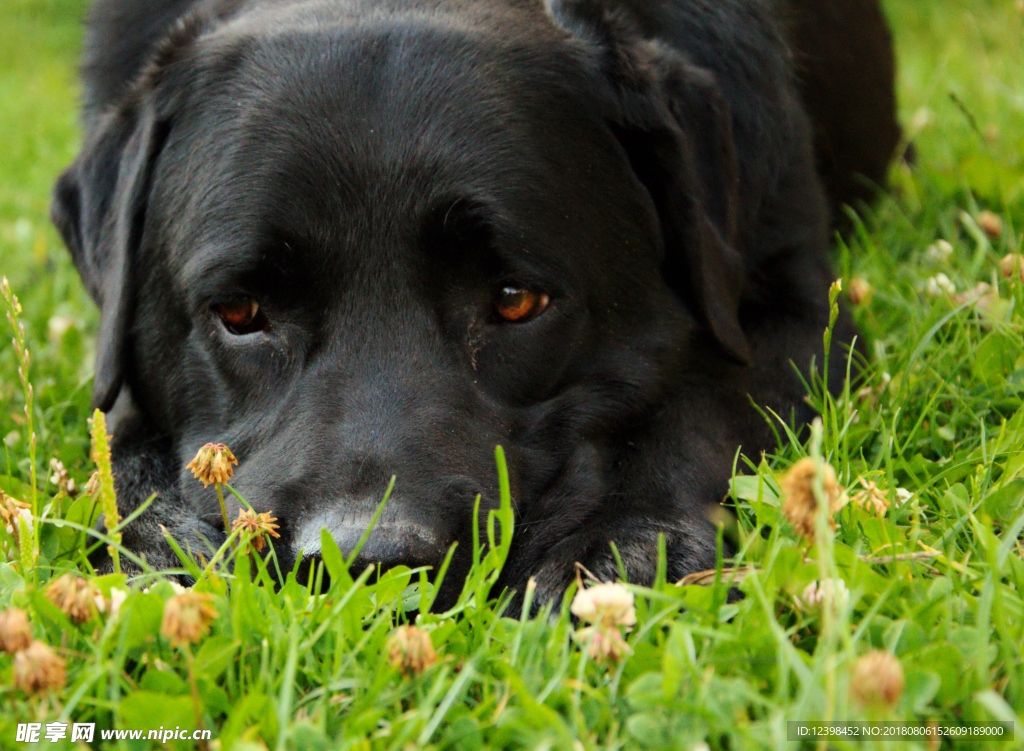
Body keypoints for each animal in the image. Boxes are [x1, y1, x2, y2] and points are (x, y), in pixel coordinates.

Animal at [49, 0, 897, 610]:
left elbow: (703, 404)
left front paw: (617, 544)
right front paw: (159, 545)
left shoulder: (797, 309)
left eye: (516, 301)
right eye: (240, 312)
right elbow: (117, 445)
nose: (370, 562)